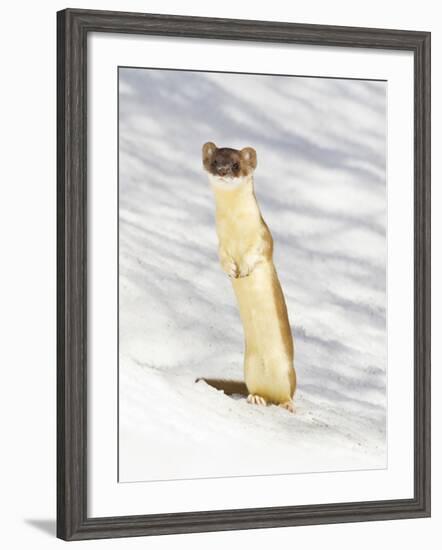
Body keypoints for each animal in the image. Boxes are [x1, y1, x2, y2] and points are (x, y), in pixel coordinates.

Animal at [198, 142, 296, 414]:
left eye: (235, 164)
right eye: (215, 161)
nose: (222, 171)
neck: (236, 230)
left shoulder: (264, 238)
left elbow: (259, 253)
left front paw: (245, 269)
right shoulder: (220, 243)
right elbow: (222, 258)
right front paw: (232, 270)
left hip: (287, 370)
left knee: (287, 393)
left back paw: (287, 404)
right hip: (249, 367)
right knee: (257, 390)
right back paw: (256, 398)